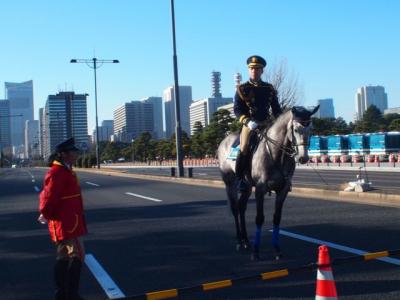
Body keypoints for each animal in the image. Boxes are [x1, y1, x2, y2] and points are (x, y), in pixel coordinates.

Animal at [217, 106, 318, 260]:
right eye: (295, 129)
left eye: (311, 129)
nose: (303, 158)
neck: (277, 155)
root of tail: (223, 141)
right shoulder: (260, 189)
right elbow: (259, 218)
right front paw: (256, 252)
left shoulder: (283, 190)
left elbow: (277, 218)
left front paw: (277, 249)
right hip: (230, 183)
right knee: (235, 208)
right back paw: (240, 241)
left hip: (247, 187)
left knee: (241, 207)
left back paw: (246, 241)